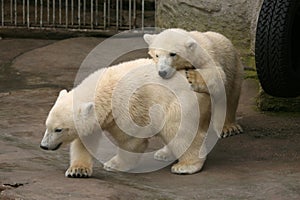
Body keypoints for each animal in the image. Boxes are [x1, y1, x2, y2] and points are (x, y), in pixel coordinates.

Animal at [40, 57, 213, 177]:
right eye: (47, 126)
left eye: (58, 129)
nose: (44, 146)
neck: (105, 90)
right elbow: (85, 140)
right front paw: (77, 170)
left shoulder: (127, 107)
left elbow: (131, 140)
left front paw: (113, 164)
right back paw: (164, 154)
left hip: (178, 102)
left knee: (179, 131)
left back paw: (186, 165)